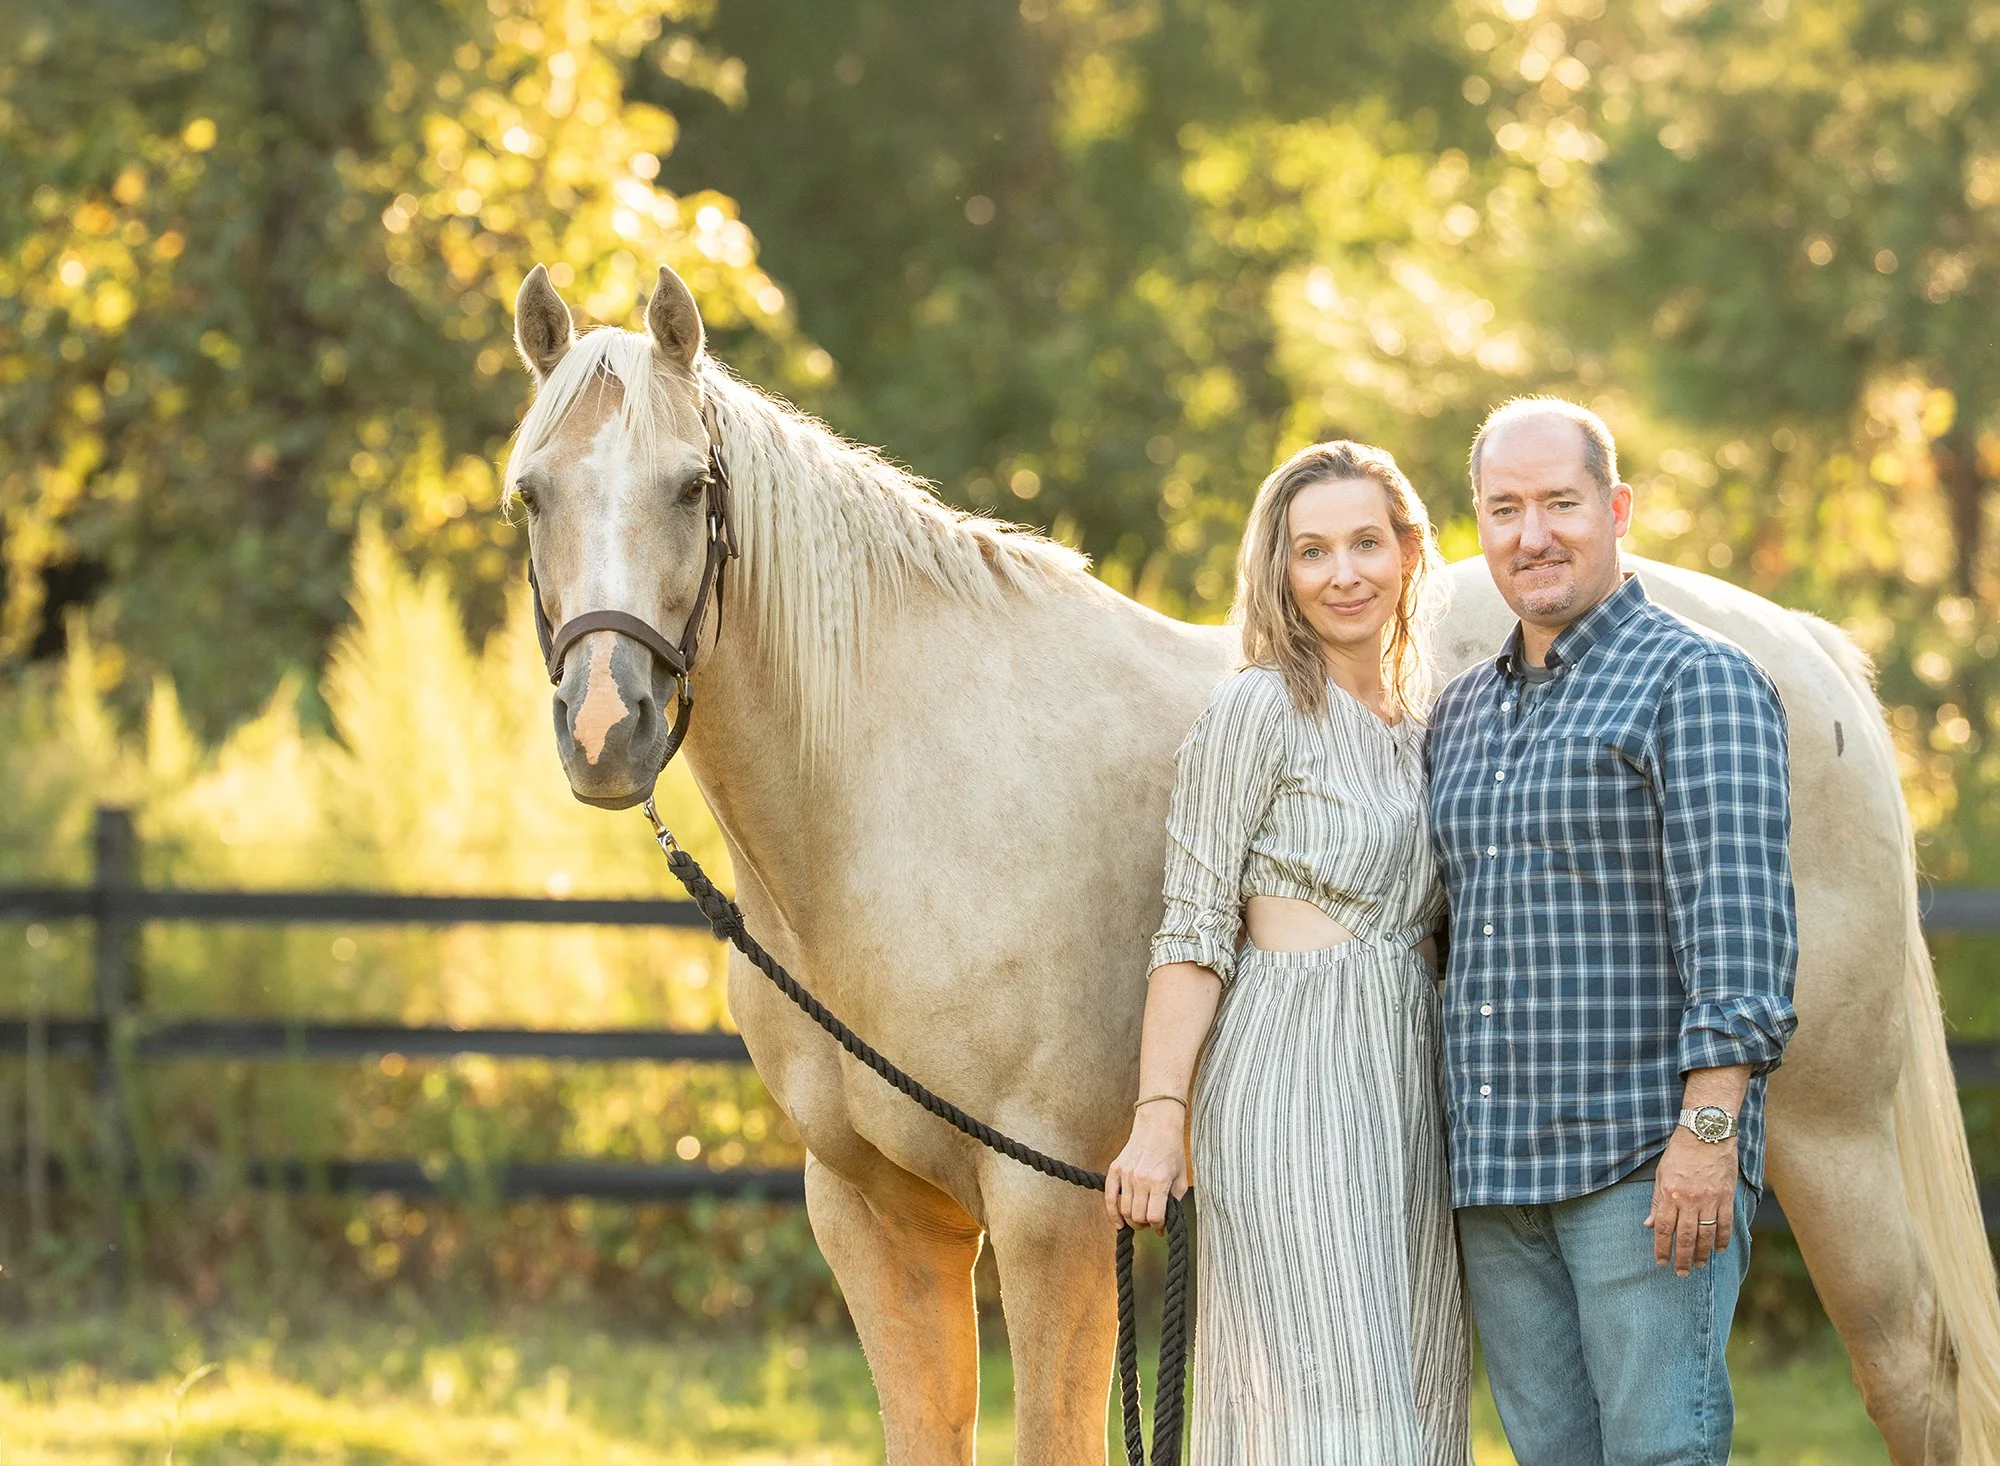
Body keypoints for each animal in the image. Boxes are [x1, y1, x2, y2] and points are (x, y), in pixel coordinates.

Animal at [503, 259, 2000, 1464]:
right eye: (529, 494)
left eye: (692, 486)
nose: (604, 727)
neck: (891, 801)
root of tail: (1802, 652)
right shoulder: (871, 1211)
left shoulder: (1050, 1214)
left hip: (1828, 1137)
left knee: (1912, 1378)